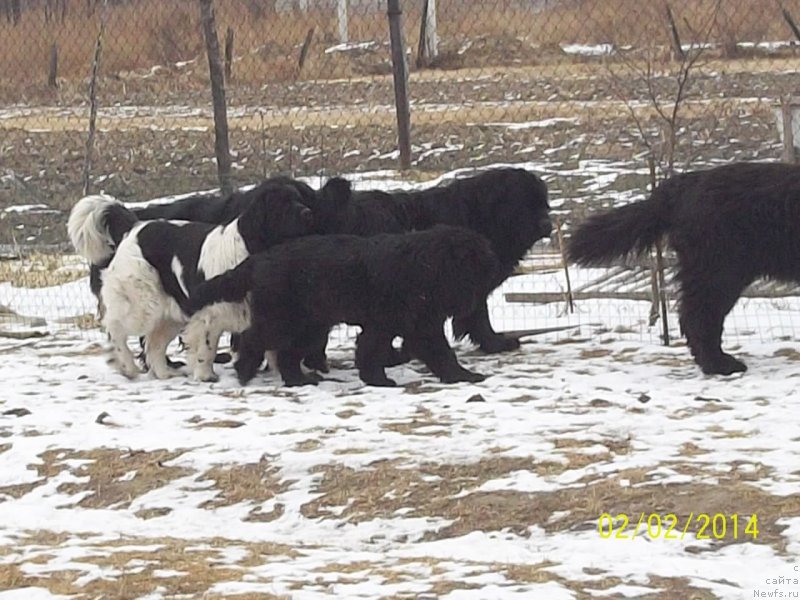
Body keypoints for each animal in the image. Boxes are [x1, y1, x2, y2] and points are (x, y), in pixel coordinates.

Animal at [67, 180, 342, 382]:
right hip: (143, 304)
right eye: (281, 205)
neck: (251, 249)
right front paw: (205, 375)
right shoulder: (210, 313)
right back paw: (125, 365)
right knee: (115, 328)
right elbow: (207, 347)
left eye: (299, 199)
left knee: (154, 343)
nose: (308, 213)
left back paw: (164, 373)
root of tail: (134, 226)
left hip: (171, 313)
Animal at [188, 225, 500, 390]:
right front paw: (378, 380)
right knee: (254, 339)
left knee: (286, 354)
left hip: (310, 326)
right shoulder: (385, 325)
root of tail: (258, 260)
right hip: (284, 320)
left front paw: (460, 375)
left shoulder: (420, 327)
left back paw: (299, 380)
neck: (422, 268)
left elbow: (441, 353)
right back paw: (244, 371)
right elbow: (373, 351)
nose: (476, 301)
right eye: (473, 270)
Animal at [300, 166, 552, 368]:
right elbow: (479, 318)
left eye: (544, 204)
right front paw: (495, 343)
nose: (547, 224)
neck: (480, 217)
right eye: (524, 204)